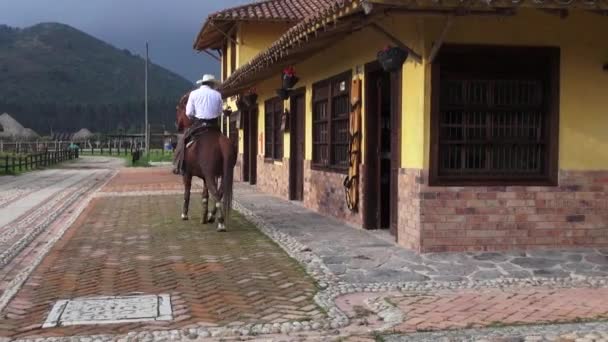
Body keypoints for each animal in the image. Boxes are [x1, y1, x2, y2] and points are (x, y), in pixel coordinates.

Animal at [176, 92, 238, 231]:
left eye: (179, 109)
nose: (178, 125)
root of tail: (221, 142)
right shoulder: (204, 177)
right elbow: (205, 195)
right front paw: (203, 217)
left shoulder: (187, 174)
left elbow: (187, 192)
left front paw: (184, 214)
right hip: (225, 173)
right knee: (220, 192)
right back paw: (211, 216)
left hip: (210, 174)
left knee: (216, 192)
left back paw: (220, 222)